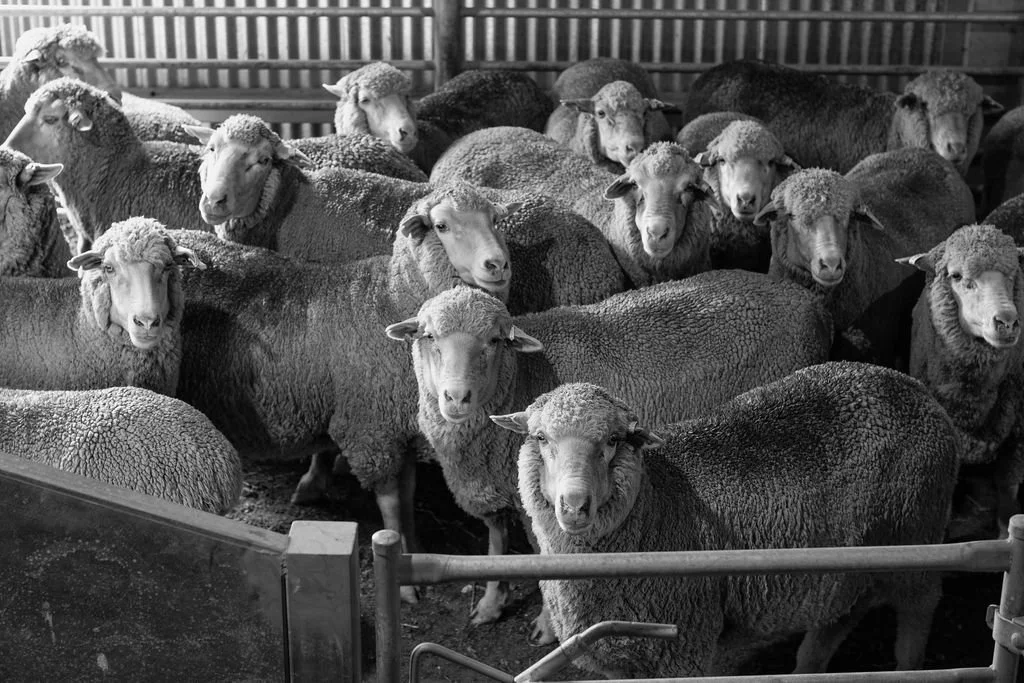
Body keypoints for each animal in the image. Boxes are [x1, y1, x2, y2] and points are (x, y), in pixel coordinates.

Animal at [385, 275, 833, 641]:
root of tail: (806, 298)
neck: (523, 376)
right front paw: (491, 603)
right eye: (428, 337)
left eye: (494, 341)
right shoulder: (494, 487)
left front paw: (546, 626)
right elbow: (496, 543)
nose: (456, 398)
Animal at [494, 368, 959, 678]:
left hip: (916, 536)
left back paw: (910, 666)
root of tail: (915, 388)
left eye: (612, 441)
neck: (657, 507)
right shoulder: (614, 657)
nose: (574, 506)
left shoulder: (684, 648)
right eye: (540, 438)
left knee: (920, 610)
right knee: (841, 615)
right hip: (854, 561)